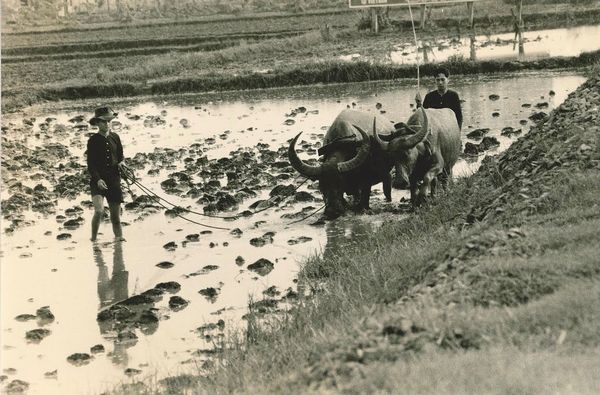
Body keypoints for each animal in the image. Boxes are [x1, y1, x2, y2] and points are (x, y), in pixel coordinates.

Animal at [290, 109, 426, 220]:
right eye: (321, 187)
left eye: (340, 183)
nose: (333, 211)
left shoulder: (366, 181)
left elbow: (364, 198)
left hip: (386, 176)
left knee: (387, 187)